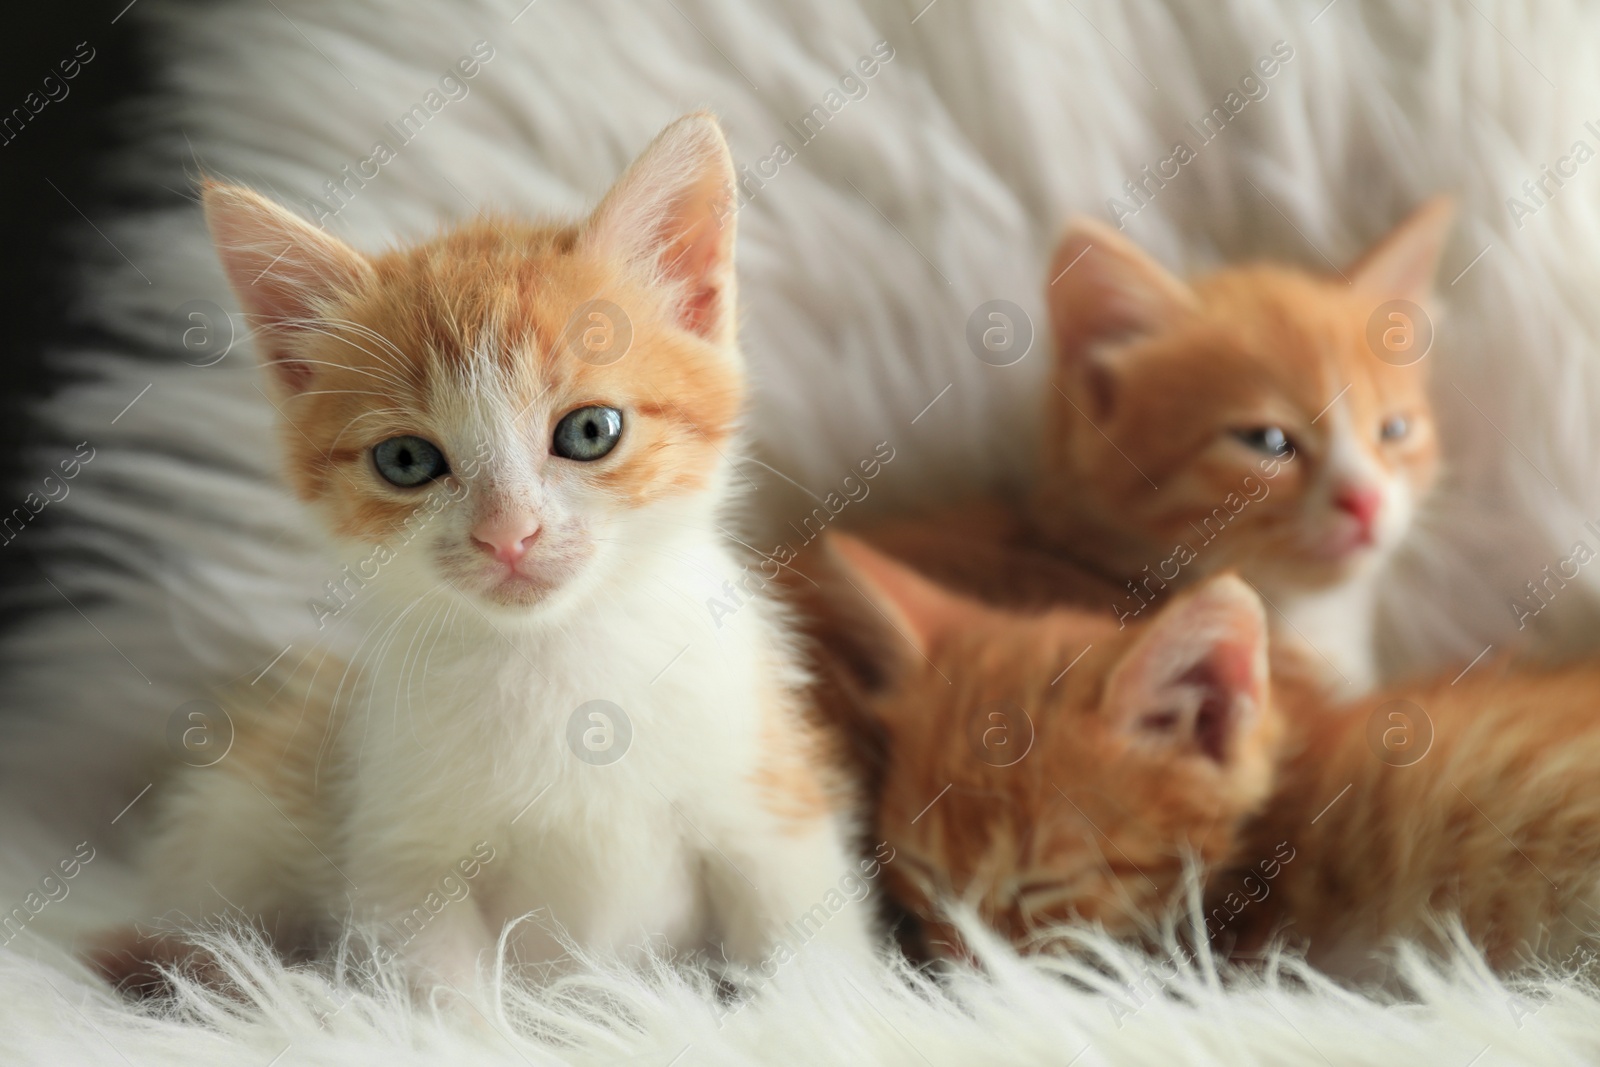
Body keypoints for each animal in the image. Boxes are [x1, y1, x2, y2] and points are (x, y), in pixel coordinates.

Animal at [104, 115, 870, 991]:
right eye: (405, 459)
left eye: (590, 430)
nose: (509, 533)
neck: (554, 655)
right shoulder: (401, 856)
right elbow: (438, 987)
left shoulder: (770, 802)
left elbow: (807, 952)